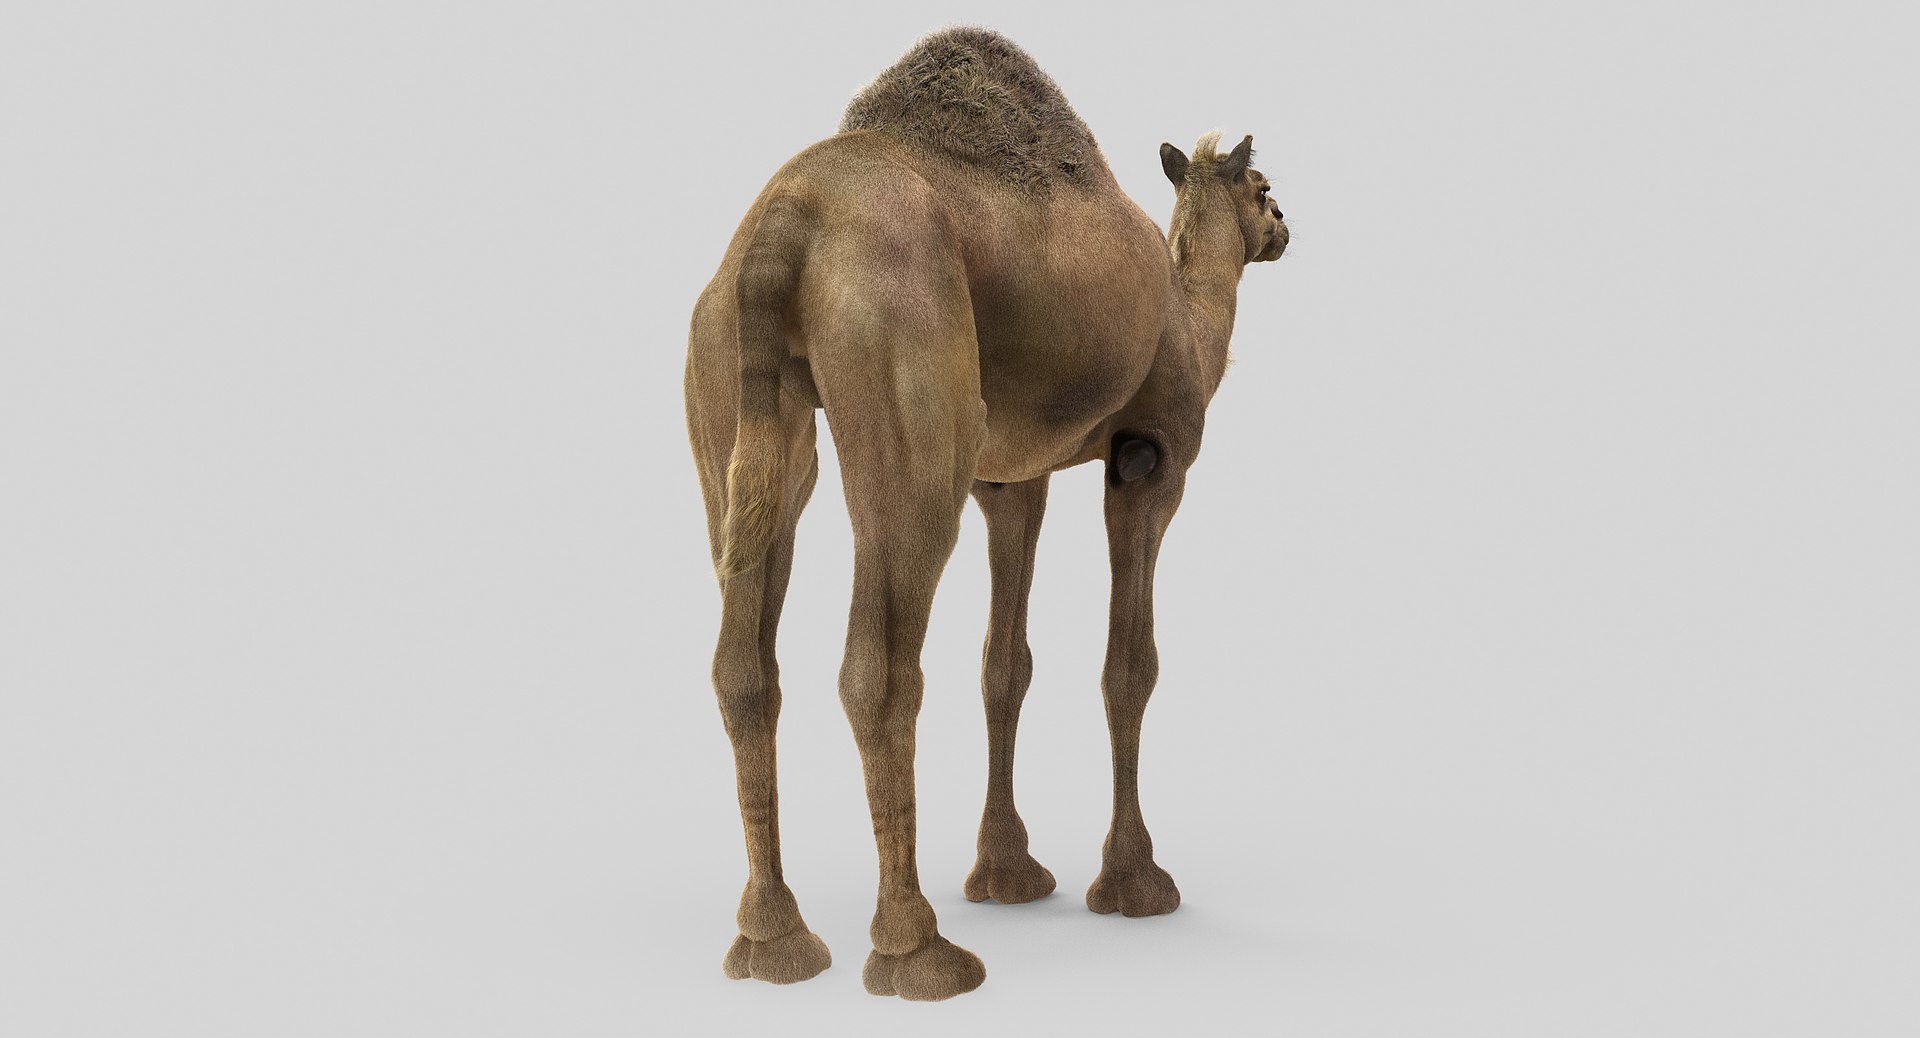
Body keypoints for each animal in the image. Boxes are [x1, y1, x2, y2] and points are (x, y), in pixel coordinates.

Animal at [683, 27, 1287, 1000]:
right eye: (1263, 188)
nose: (1287, 228)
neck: (1194, 318)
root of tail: (786, 218)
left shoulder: (1013, 479)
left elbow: (1006, 664)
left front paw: (1008, 873)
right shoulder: (1151, 458)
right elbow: (1131, 667)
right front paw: (1135, 884)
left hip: (732, 387)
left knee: (744, 666)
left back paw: (774, 943)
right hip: (907, 374)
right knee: (879, 670)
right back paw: (917, 952)